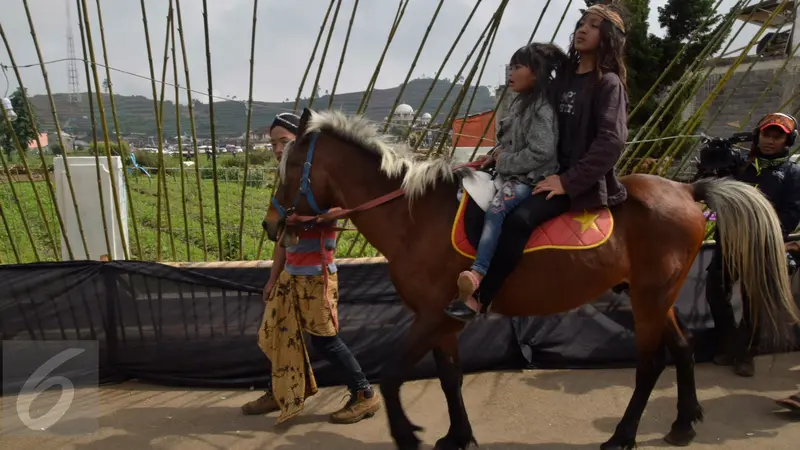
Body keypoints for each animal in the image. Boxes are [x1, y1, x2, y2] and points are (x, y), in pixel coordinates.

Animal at [264, 109, 800, 450]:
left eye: (286, 169)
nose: (272, 225)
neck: (414, 216)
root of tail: (689, 190)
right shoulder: (443, 321)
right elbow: (450, 377)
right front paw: (457, 436)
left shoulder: (435, 314)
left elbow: (394, 374)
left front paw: (407, 434)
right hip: (657, 295)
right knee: (684, 350)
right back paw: (683, 424)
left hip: (649, 299)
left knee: (650, 364)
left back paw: (623, 436)